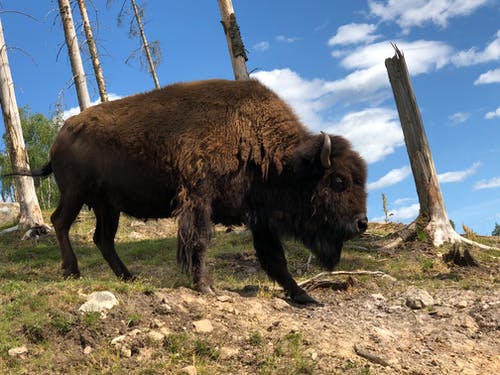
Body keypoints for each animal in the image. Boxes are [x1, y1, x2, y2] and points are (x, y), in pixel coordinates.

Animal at [25, 79, 368, 306]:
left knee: (102, 239)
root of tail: (61, 134)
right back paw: (72, 271)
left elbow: (275, 259)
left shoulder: (260, 217)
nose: (361, 223)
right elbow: (199, 241)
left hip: (107, 206)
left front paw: (305, 296)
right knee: (60, 222)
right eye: (338, 180)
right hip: (76, 193)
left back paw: (129, 277)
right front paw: (204, 286)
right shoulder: (199, 197)